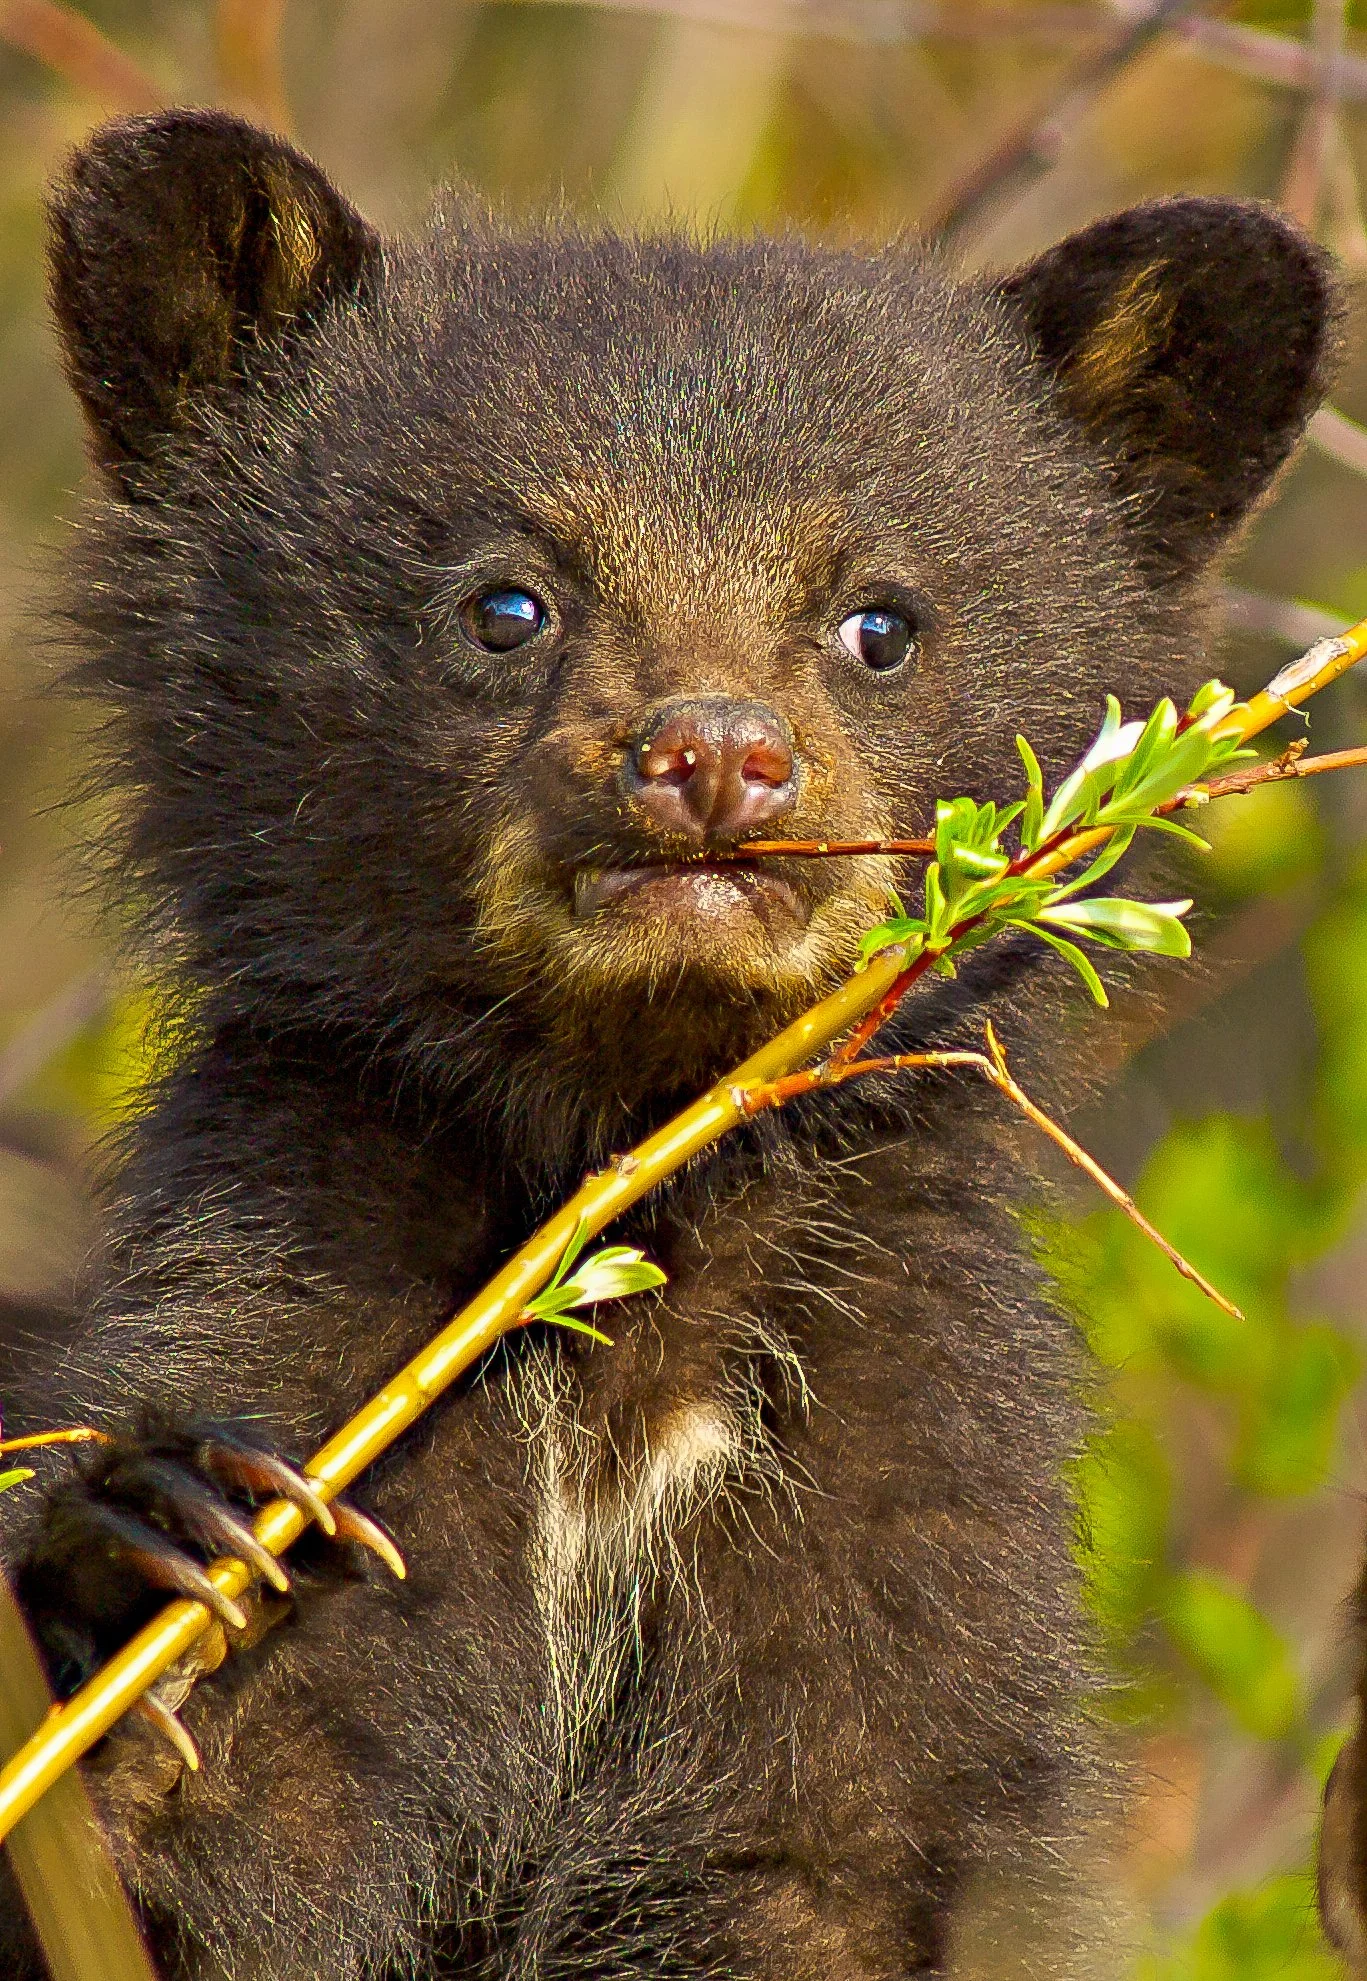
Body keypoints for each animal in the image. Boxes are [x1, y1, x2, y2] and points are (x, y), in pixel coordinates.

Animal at [0, 108, 1339, 1981]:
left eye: (879, 620)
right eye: (504, 602)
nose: (712, 756)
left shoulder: (892, 1466)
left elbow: (833, 1844)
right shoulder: (322, 1314)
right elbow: (243, 1820)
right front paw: (148, 1563)